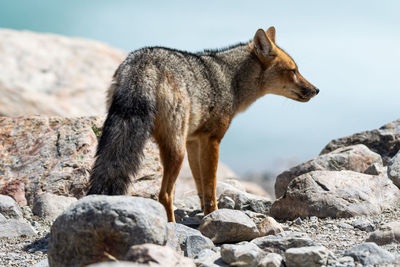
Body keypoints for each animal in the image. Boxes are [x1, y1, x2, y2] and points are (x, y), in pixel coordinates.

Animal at [87, 26, 318, 222]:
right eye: (293, 71)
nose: (316, 90)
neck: (230, 79)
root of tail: (144, 63)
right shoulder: (212, 140)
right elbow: (210, 187)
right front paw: (213, 214)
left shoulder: (194, 142)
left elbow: (200, 185)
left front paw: (204, 213)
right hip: (176, 151)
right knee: (165, 195)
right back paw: (171, 226)